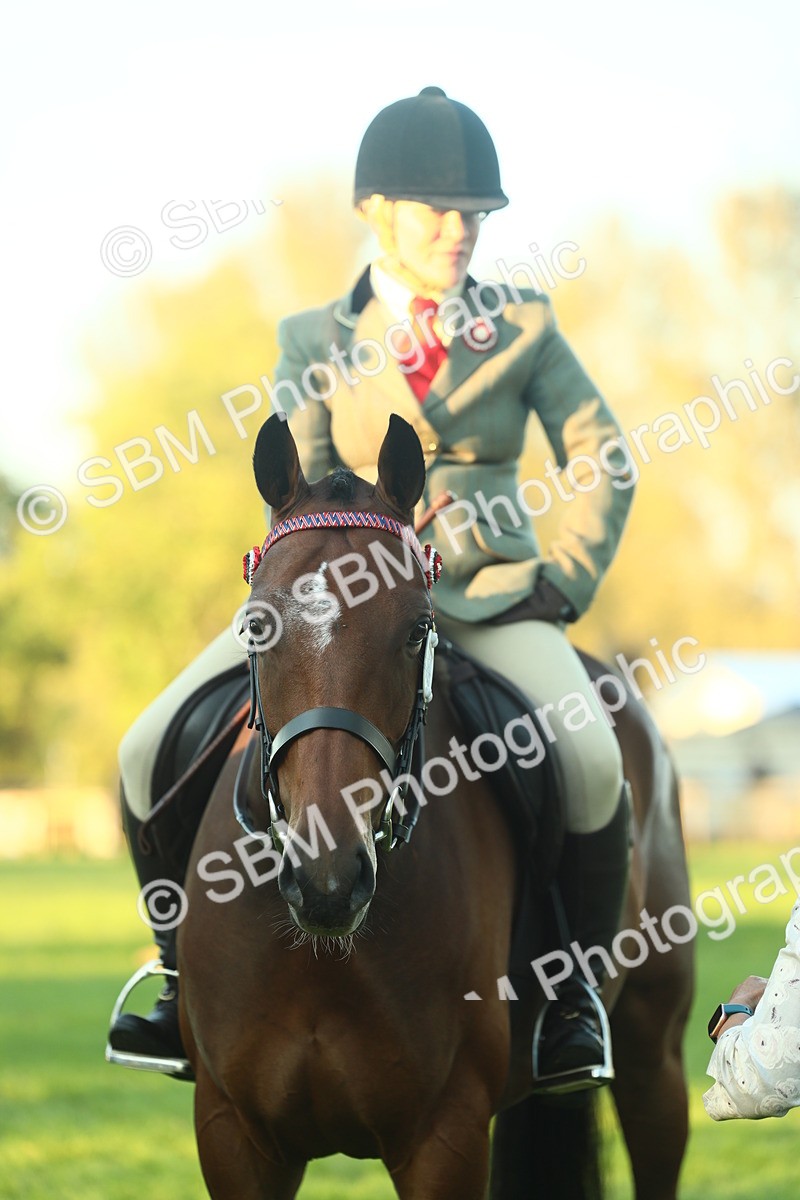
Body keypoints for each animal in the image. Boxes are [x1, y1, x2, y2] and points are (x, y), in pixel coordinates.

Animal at [178, 413, 694, 1200]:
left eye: (419, 628)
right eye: (256, 626)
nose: (328, 879)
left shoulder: (445, 1135)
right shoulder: (233, 1133)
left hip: (652, 1055)